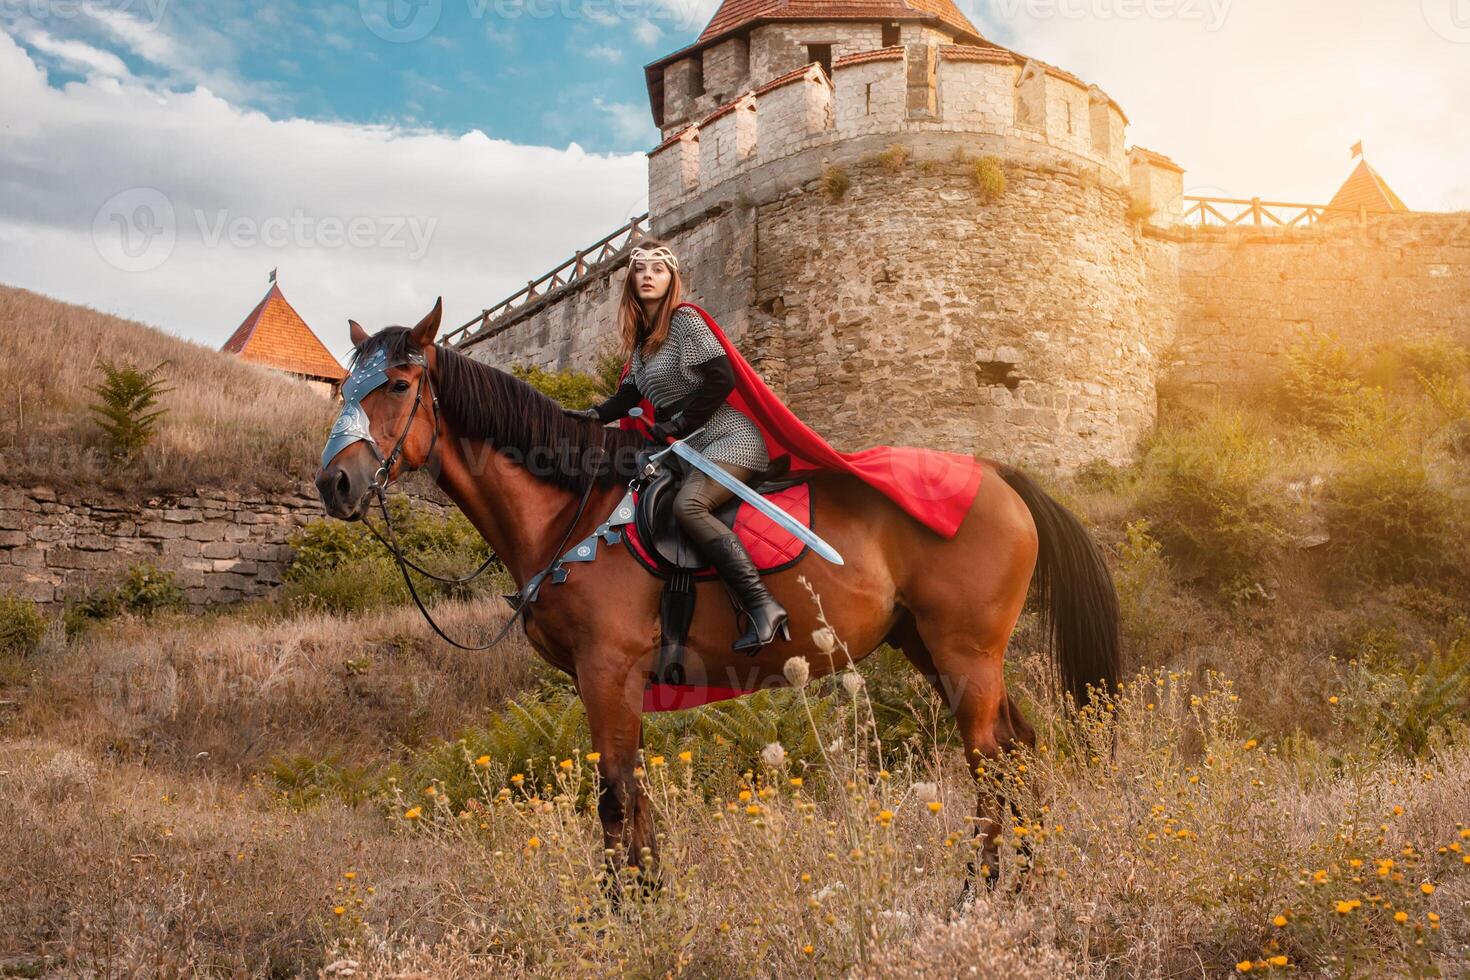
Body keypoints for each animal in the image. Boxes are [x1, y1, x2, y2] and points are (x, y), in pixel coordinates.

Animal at [310, 302, 1111, 899]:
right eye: (345, 389)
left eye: (398, 385)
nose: (335, 484)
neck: (573, 509)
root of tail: (996, 474)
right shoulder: (609, 684)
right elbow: (635, 797)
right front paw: (650, 901)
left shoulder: (608, 673)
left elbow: (613, 797)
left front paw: (619, 919)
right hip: (932, 647)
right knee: (1018, 747)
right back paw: (1028, 876)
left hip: (965, 651)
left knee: (988, 760)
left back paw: (977, 888)